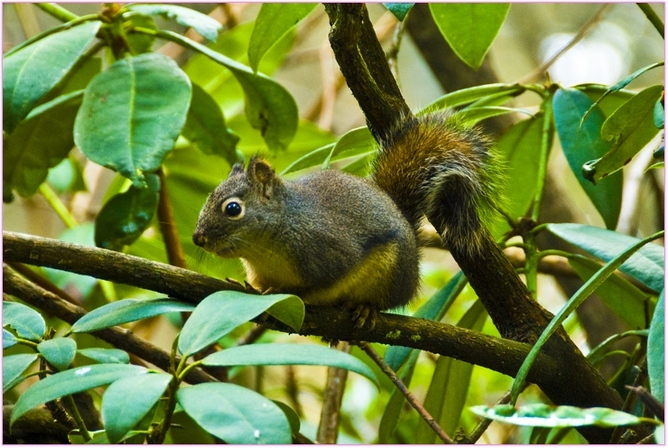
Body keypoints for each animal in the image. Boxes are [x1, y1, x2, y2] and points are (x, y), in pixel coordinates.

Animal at [190, 109, 498, 326]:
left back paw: (365, 308)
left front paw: (278, 293)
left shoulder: (324, 251)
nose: (198, 238)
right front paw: (252, 290)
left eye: (233, 209)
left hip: (390, 274)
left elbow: (316, 283)